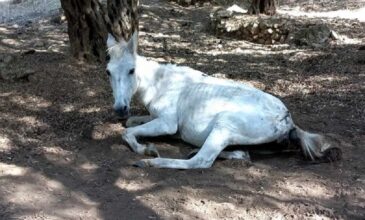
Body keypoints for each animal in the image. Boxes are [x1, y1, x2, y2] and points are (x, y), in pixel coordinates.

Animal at [105, 31, 342, 168]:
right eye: (108, 71)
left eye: (131, 70)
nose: (120, 108)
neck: (161, 83)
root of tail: (288, 121)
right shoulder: (154, 117)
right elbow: (130, 123)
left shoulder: (168, 123)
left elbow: (127, 132)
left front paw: (146, 149)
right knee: (243, 155)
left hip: (223, 126)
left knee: (201, 161)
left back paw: (150, 162)